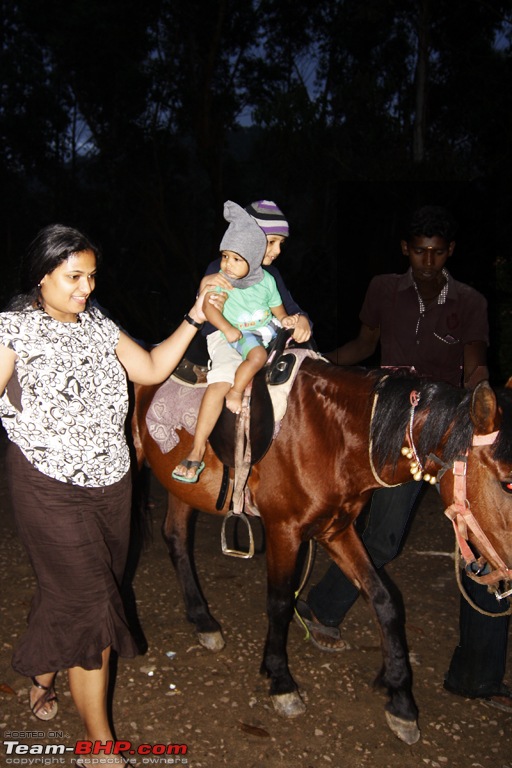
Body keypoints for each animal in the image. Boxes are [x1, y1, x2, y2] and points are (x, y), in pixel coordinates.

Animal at [132, 360, 512, 744]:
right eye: (508, 483)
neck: (335, 436)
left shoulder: (336, 530)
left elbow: (384, 600)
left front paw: (401, 700)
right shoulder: (283, 531)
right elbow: (280, 603)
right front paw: (280, 681)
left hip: (183, 487)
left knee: (176, 538)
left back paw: (203, 620)